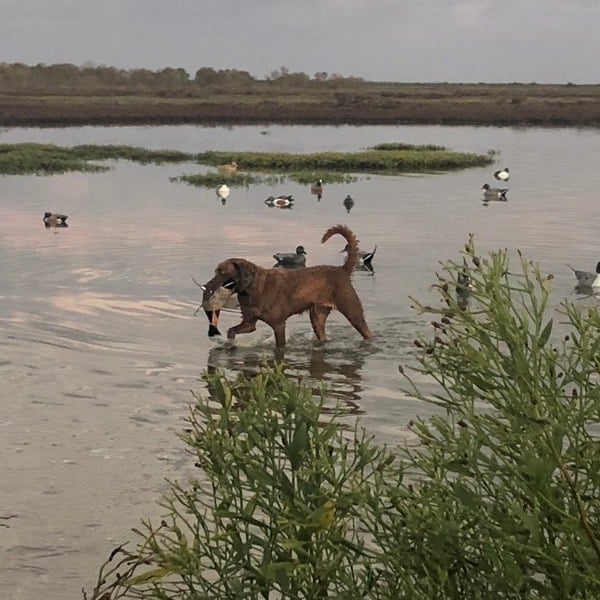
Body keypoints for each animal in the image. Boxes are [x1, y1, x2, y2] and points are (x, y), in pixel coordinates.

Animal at [203, 224, 370, 346]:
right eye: (216, 271)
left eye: (222, 272)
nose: (206, 285)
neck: (252, 287)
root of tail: (342, 269)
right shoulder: (249, 322)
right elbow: (232, 331)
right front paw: (229, 344)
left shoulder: (278, 324)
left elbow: (280, 344)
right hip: (318, 315)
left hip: (352, 309)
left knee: (366, 331)